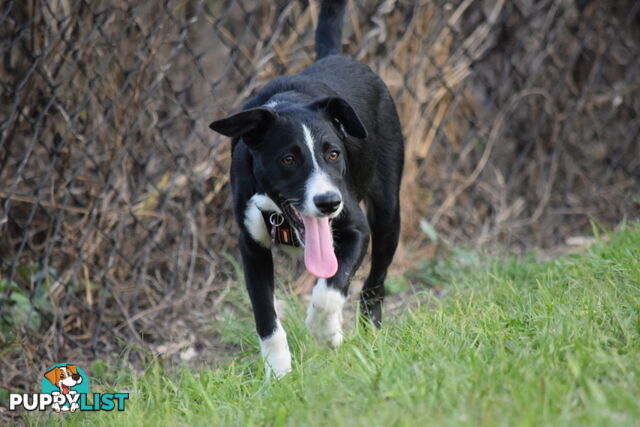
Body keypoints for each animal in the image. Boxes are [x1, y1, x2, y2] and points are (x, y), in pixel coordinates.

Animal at [209, 0, 400, 376]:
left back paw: (371, 331)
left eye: (333, 153)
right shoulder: (251, 246)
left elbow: (328, 290)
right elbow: (265, 315)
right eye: (288, 159)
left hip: (388, 211)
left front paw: (328, 334)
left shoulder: (356, 229)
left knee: (375, 282)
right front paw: (279, 372)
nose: (327, 202)